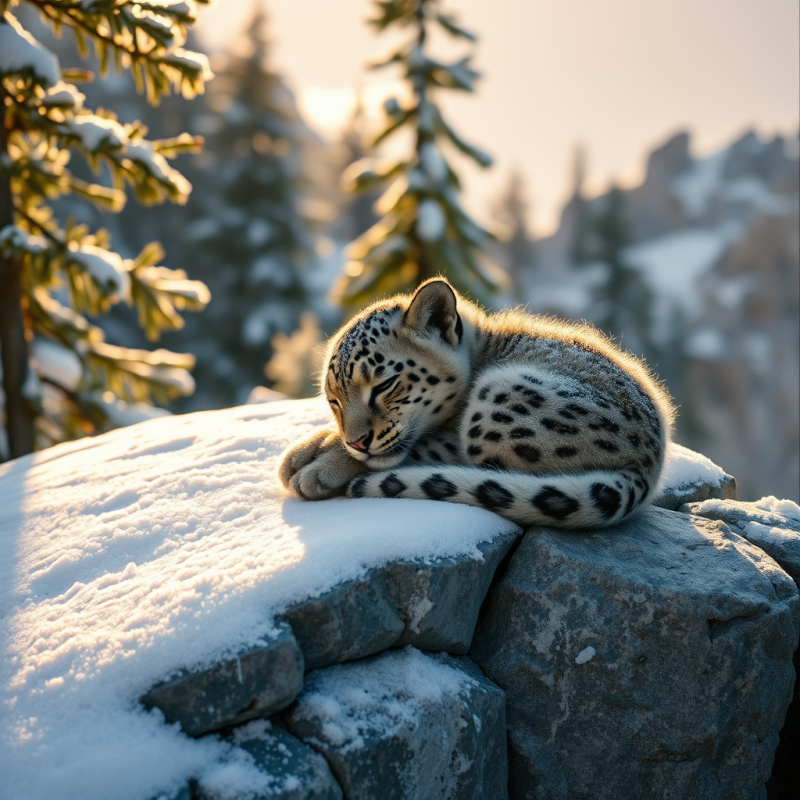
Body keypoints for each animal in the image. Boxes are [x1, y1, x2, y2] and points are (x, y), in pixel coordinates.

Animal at [278, 278, 675, 529]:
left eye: (384, 384)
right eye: (334, 401)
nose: (357, 441)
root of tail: (649, 464)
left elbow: (414, 448)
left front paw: (315, 470)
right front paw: (300, 454)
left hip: (497, 404)